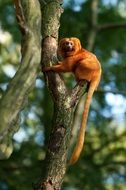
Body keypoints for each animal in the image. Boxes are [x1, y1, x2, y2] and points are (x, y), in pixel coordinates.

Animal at [43, 37, 101, 165]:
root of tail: (96, 76)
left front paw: (50, 68)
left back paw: (81, 78)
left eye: (71, 44)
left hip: (87, 69)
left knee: (81, 64)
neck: (74, 52)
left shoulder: (73, 58)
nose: (69, 45)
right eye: (66, 43)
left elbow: (66, 67)